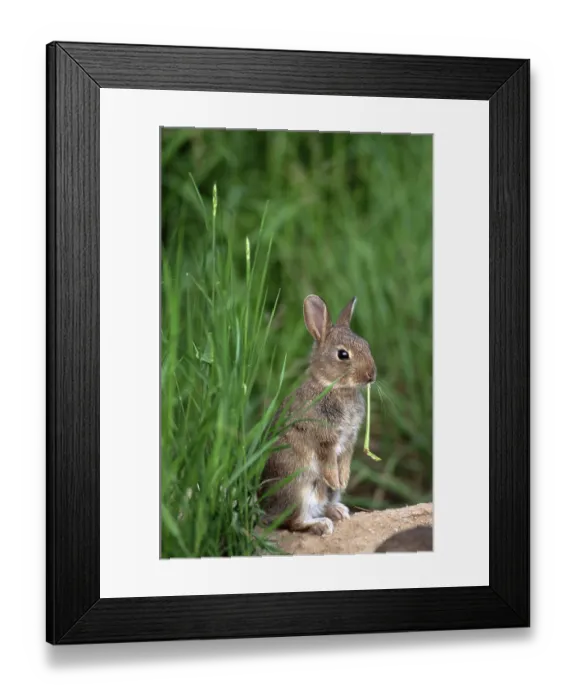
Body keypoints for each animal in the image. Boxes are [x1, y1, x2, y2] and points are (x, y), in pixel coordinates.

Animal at [259, 294, 377, 536]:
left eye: (366, 345)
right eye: (343, 354)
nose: (371, 375)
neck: (332, 387)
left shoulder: (348, 440)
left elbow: (345, 461)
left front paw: (344, 480)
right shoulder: (324, 439)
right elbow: (329, 464)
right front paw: (337, 480)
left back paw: (338, 511)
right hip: (300, 489)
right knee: (294, 522)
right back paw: (321, 524)